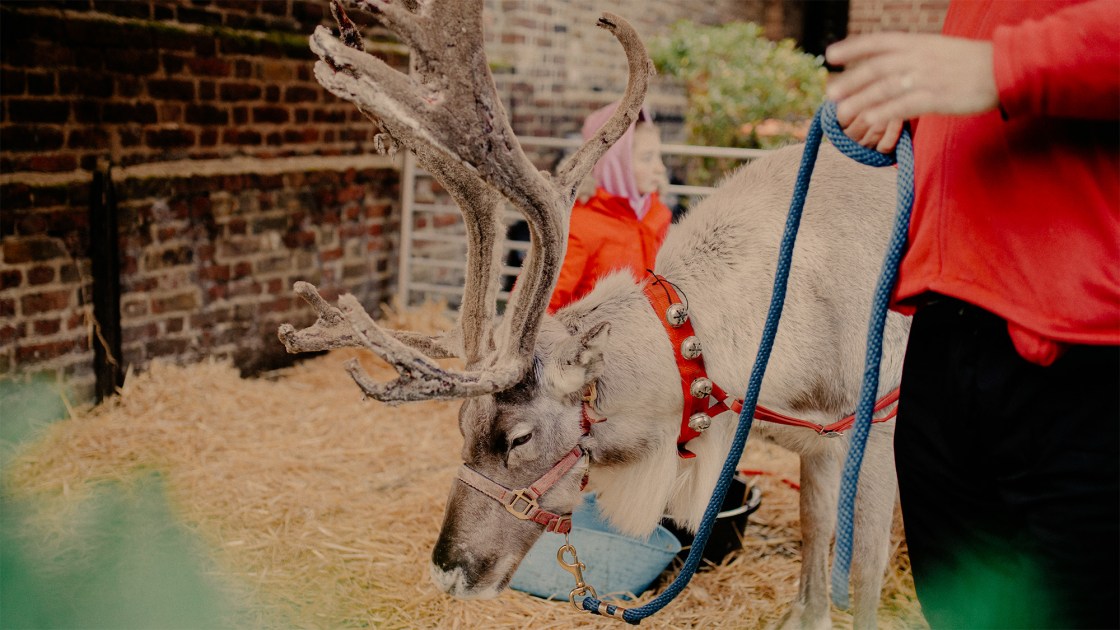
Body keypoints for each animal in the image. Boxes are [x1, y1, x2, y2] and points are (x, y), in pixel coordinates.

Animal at [279, 2, 911, 629]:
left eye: (518, 438)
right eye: (461, 425)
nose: (448, 571)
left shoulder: (878, 435)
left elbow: (863, 573)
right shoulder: (818, 445)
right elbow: (813, 549)